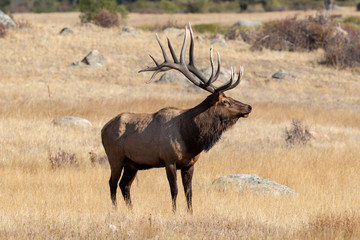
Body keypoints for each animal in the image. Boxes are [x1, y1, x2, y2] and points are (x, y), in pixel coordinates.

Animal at [100, 23, 253, 213]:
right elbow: (174, 190)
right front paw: (174, 212)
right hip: (115, 156)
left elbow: (189, 192)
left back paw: (131, 210)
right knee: (112, 183)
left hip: (132, 163)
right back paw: (115, 210)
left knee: (124, 185)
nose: (249, 107)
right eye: (226, 101)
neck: (191, 138)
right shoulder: (169, 160)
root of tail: (103, 129)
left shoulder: (190, 164)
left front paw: (190, 213)